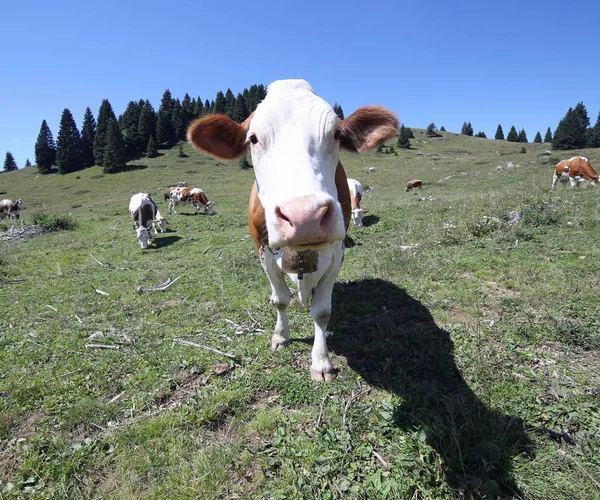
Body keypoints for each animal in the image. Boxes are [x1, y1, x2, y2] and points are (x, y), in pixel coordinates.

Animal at [188, 79, 398, 382]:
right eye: (253, 139)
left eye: (336, 134)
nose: (305, 216)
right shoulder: (263, 251)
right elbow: (280, 300)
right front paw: (280, 336)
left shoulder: (337, 253)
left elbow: (322, 312)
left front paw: (321, 362)